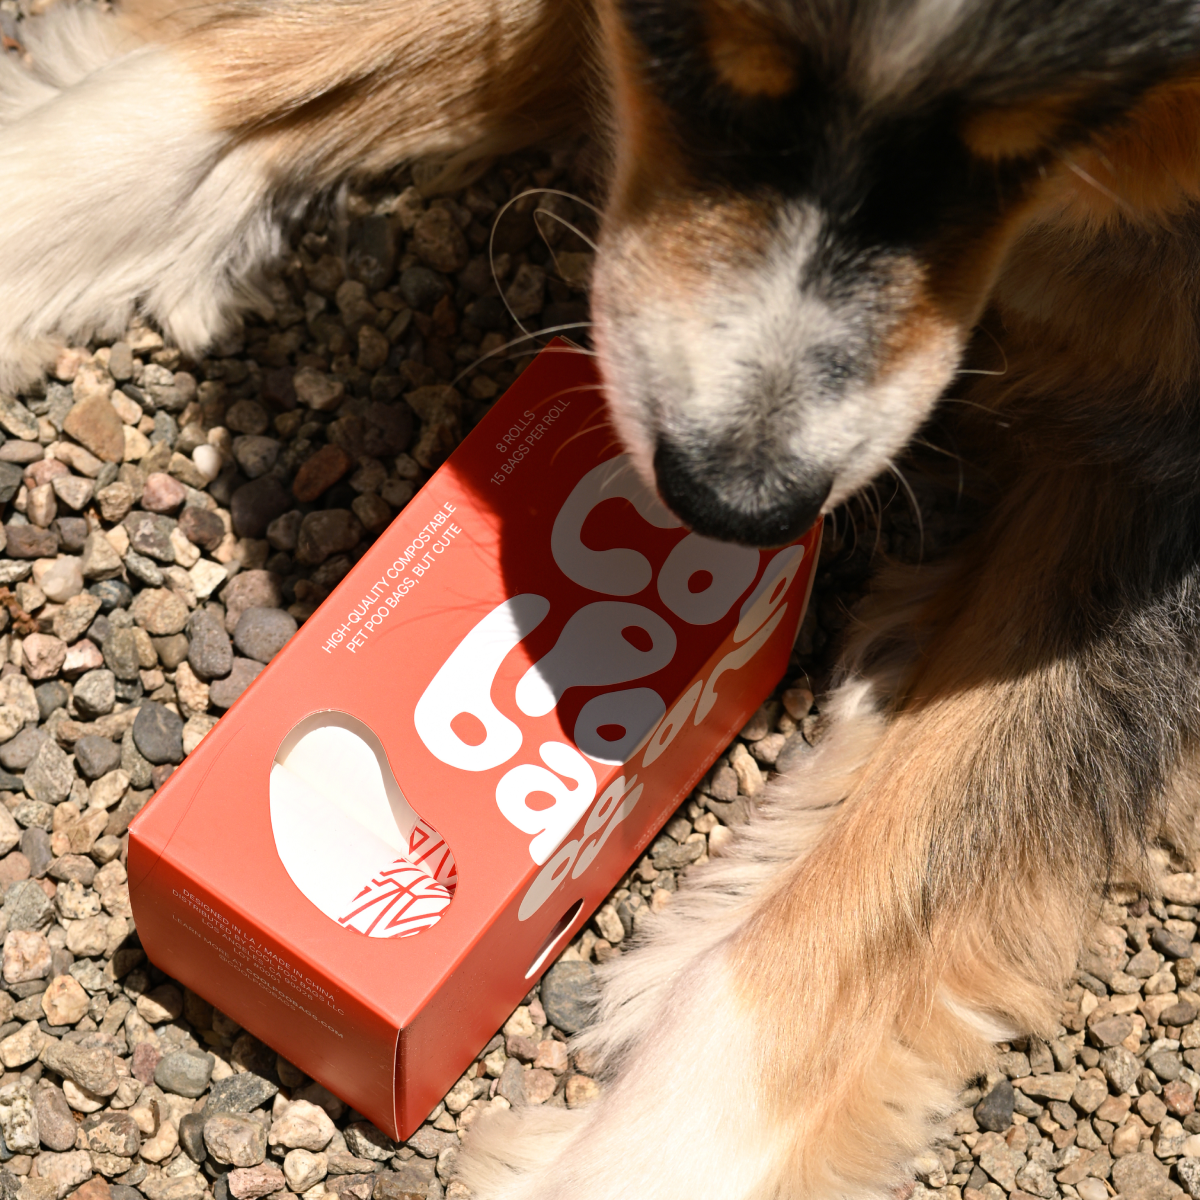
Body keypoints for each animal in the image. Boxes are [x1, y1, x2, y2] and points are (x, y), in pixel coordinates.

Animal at [2, 0, 1200, 1195]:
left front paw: (632, 1157)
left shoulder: (1152, 486)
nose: (734, 501)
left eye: (1042, 151)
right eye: (701, 73)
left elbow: (882, 889)